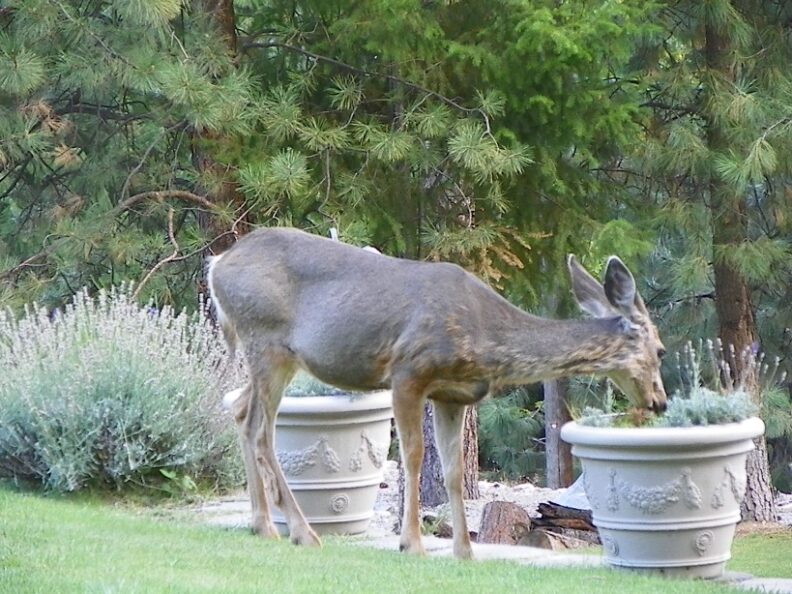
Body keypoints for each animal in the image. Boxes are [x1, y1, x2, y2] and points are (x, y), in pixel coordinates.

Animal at [207, 226, 667, 560]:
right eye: (661, 350)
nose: (659, 402)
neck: (487, 339)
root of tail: (216, 264)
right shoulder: (407, 371)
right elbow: (412, 457)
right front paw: (411, 543)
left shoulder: (452, 395)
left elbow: (453, 470)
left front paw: (465, 551)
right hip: (265, 338)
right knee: (259, 429)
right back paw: (301, 533)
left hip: (273, 355)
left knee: (240, 409)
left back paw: (263, 524)